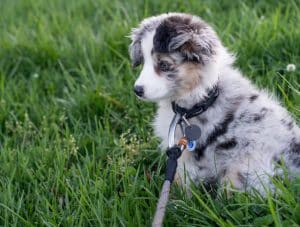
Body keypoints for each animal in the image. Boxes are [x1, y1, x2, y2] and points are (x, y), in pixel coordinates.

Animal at [129, 12, 300, 193]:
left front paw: (176, 196)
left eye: (164, 65)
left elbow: (183, 180)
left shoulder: (192, 155)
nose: (137, 90)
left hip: (243, 171)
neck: (203, 100)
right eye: (144, 62)